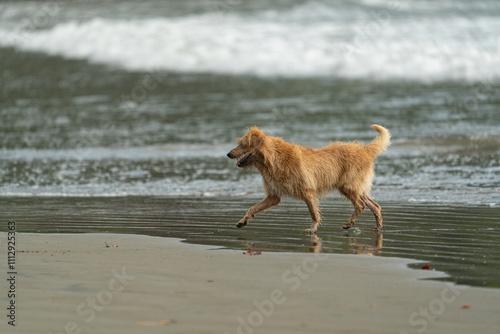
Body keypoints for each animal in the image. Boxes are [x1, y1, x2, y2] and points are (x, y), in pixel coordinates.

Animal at [227, 124, 390, 235]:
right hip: (360, 188)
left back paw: (349, 223)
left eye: (242, 144)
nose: (228, 154)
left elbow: (313, 214)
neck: (271, 161)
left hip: (347, 186)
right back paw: (378, 227)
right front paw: (243, 220)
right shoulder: (274, 195)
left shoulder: (307, 191)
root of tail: (365, 150)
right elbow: (253, 207)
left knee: (360, 205)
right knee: (375, 206)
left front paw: (312, 229)